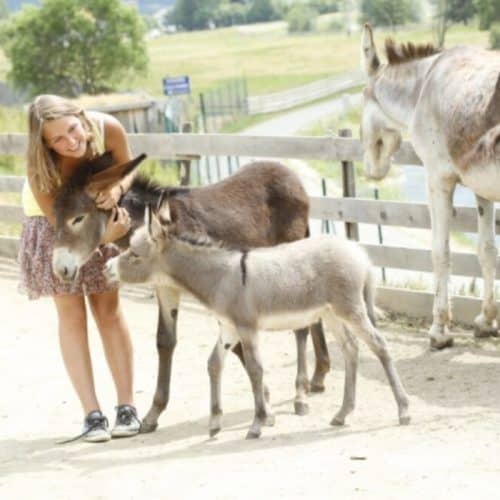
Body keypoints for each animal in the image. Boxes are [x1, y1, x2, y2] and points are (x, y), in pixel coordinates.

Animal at [106, 203, 410, 438]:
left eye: (134, 255)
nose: (107, 268)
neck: (221, 277)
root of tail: (359, 252)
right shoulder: (229, 329)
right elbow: (214, 364)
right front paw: (215, 422)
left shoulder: (246, 328)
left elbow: (255, 369)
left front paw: (257, 423)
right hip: (331, 314)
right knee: (351, 350)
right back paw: (343, 413)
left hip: (350, 309)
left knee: (380, 346)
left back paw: (403, 410)